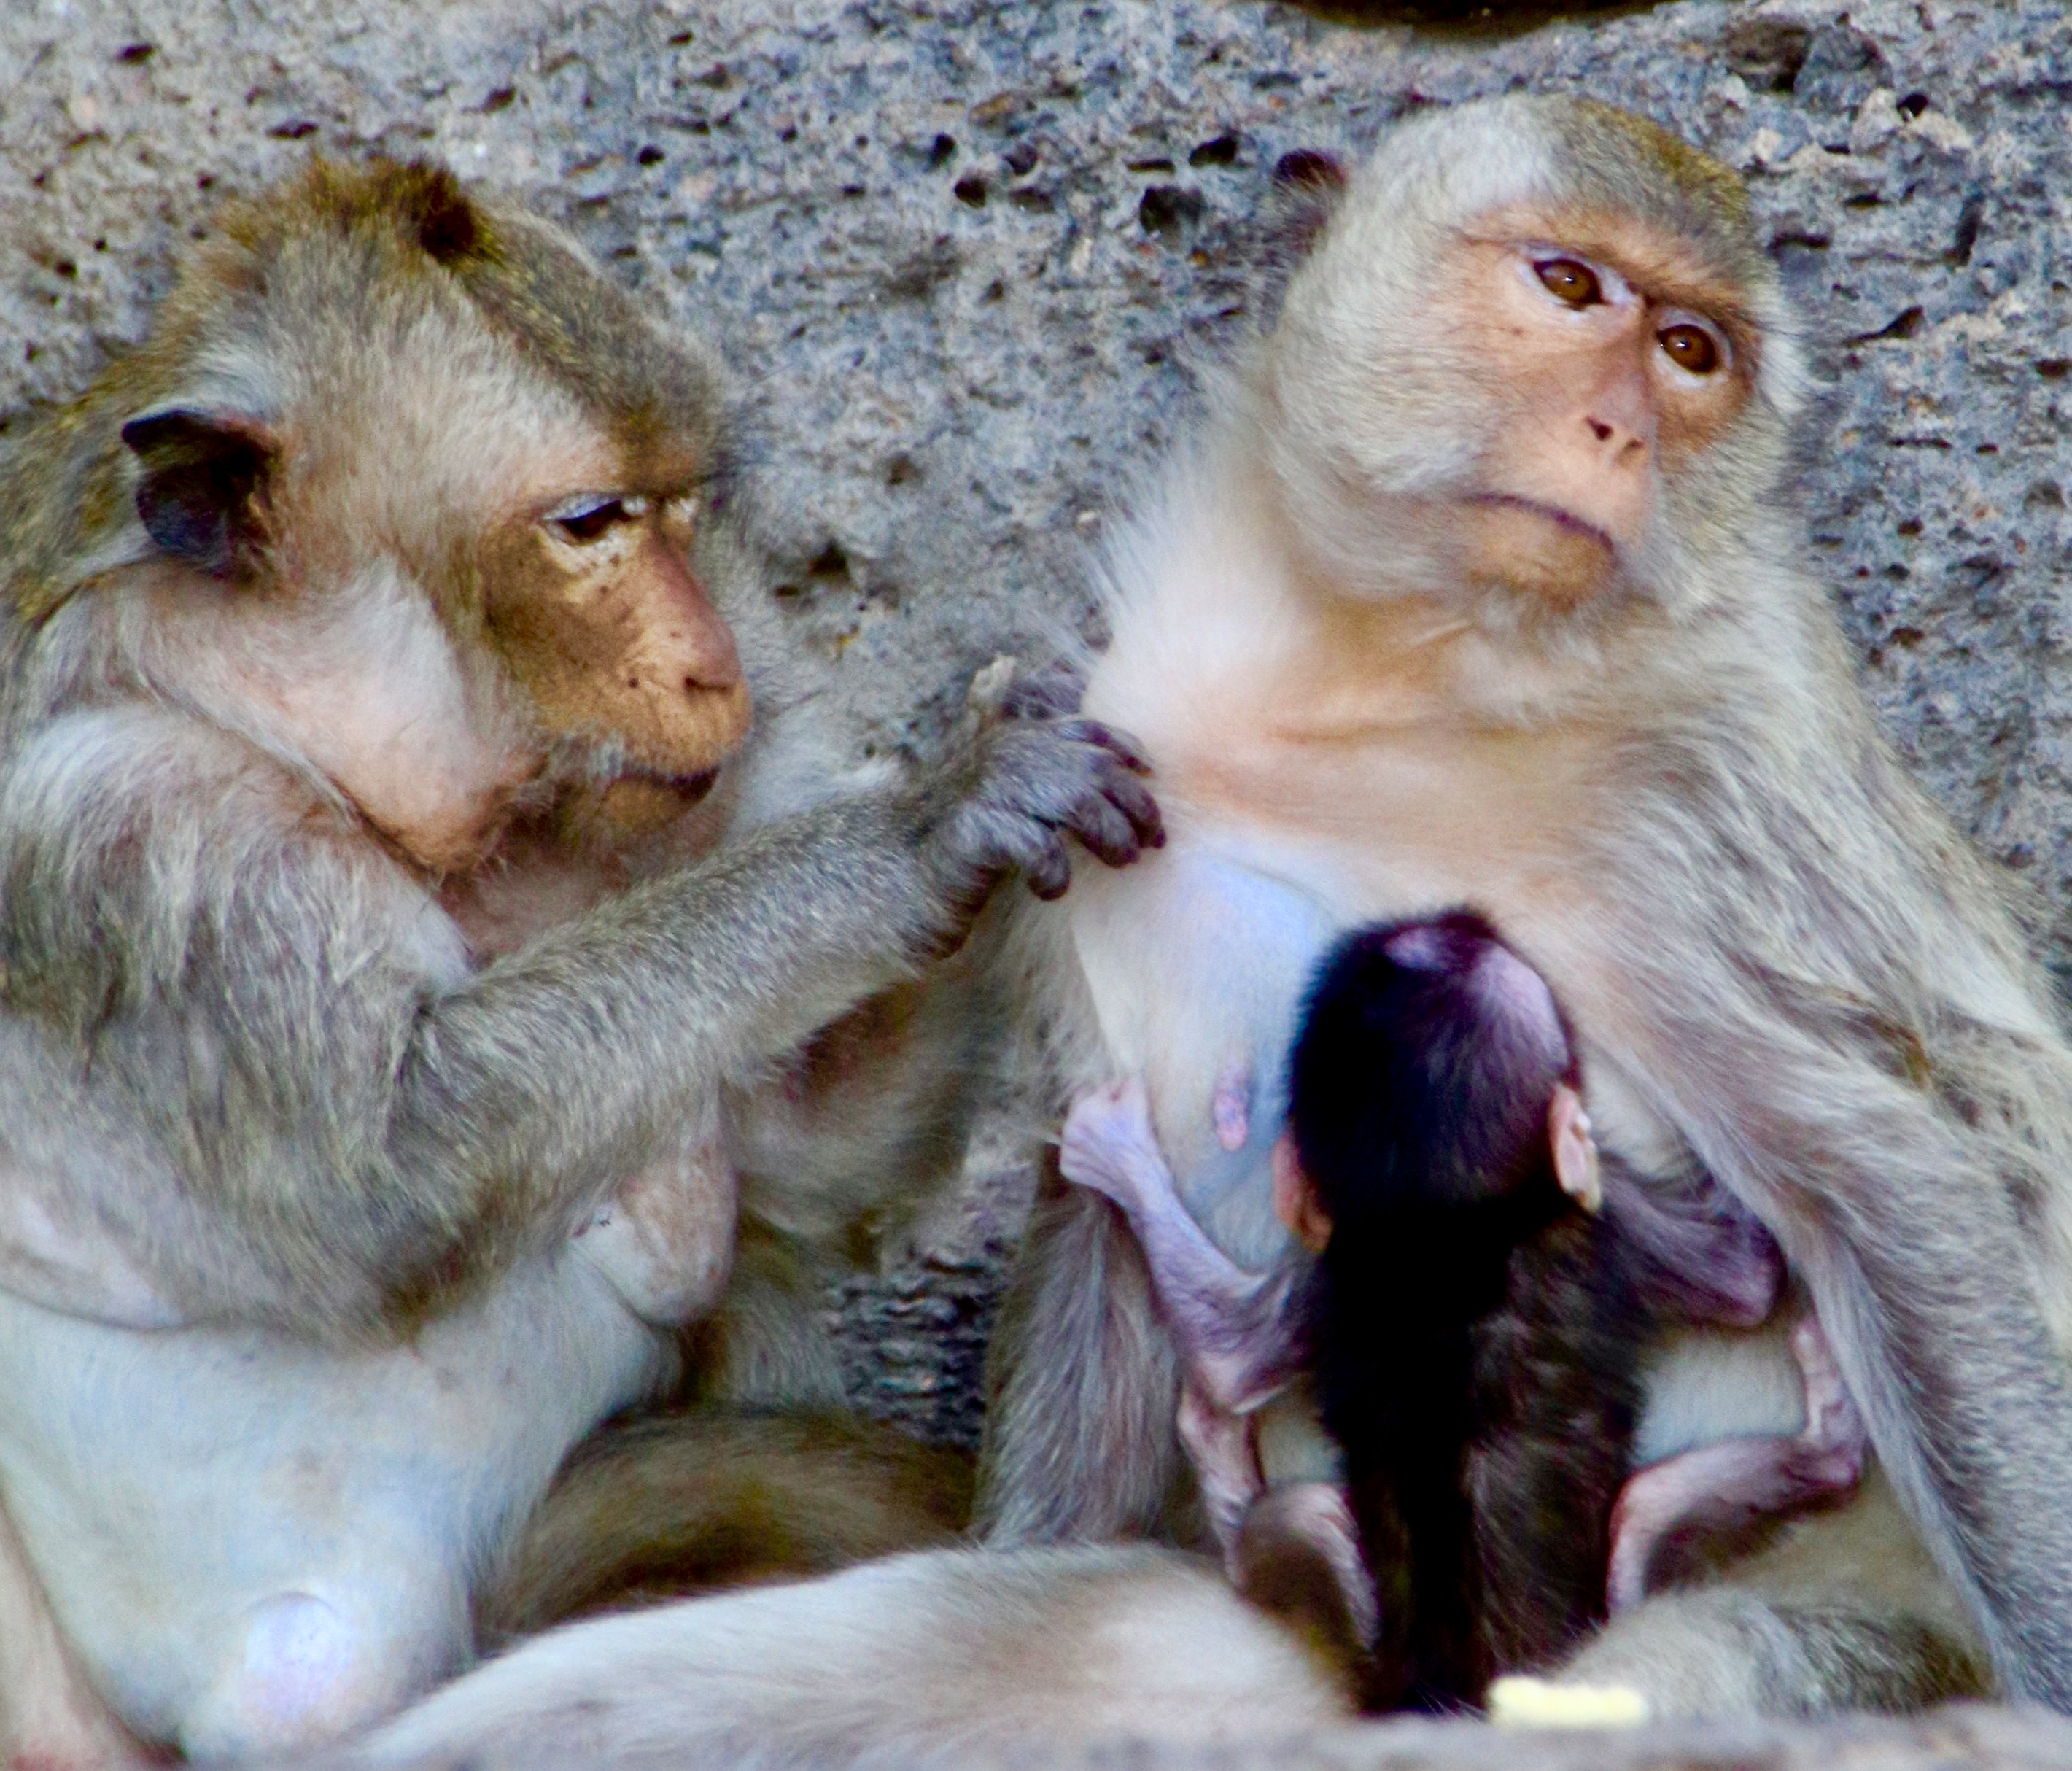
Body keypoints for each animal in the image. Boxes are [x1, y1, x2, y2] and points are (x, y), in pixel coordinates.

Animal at [0, 159, 1168, 1764]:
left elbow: (800, 1155)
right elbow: (399, 1167)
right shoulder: (127, 836)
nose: (717, 657)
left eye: (681, 507)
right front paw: (934, 817)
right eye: (590, 521)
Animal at [1060, 907, 1873, 1706]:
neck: (1445, 1230)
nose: (1462, 920)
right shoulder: (1607, 1215)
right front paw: (1117, 1154)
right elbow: (1749, 1279)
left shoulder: (1340, 1262)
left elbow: (1234, 1357)